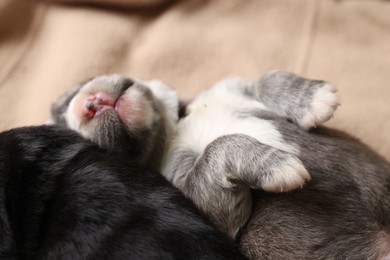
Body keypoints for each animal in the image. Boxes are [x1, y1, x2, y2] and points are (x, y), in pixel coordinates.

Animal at [161, 71, 338, 240]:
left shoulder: (228, 87)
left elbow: (265, 78)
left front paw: (313, 97)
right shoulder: (206, 209)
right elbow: (216, 147)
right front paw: (277, 165)